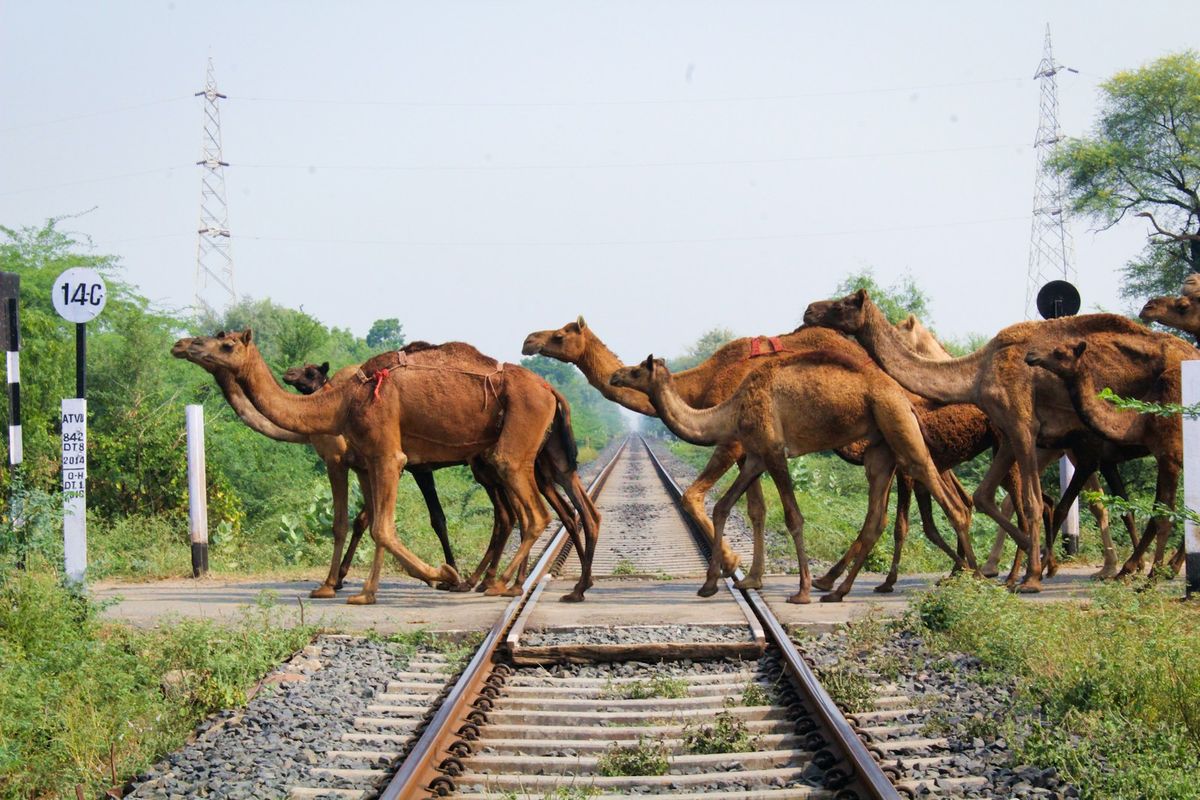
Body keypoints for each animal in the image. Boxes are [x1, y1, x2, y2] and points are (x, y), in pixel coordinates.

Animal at [175, 332, 597, 603]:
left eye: (226, 343)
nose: (181, 344)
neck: (340, 402)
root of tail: (550, 390)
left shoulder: (381, 457)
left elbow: (377, 525)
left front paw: (438, 575)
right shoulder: (370, 460)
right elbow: (370, 522)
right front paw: (362, 589)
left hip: (511, 448)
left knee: (535, 515)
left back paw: (498, 583)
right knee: (536, 513)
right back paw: (515, 583)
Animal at [522, 317, 983, 593]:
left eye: (561, 334)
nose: (529, 340)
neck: (700, 385)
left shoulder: (734, 443)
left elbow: (694, 496)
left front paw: (731, 563)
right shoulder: (752, 452)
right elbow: (757, 509)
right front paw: (753, 576)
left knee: (923, 485)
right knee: (936, 487)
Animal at [1025, 338, 1187, 576]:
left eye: (1059, 353)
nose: (1031, 355)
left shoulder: (1167, 457)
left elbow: (1162, 515)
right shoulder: (1109, 462)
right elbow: (1129, 509)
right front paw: (1134, 567)